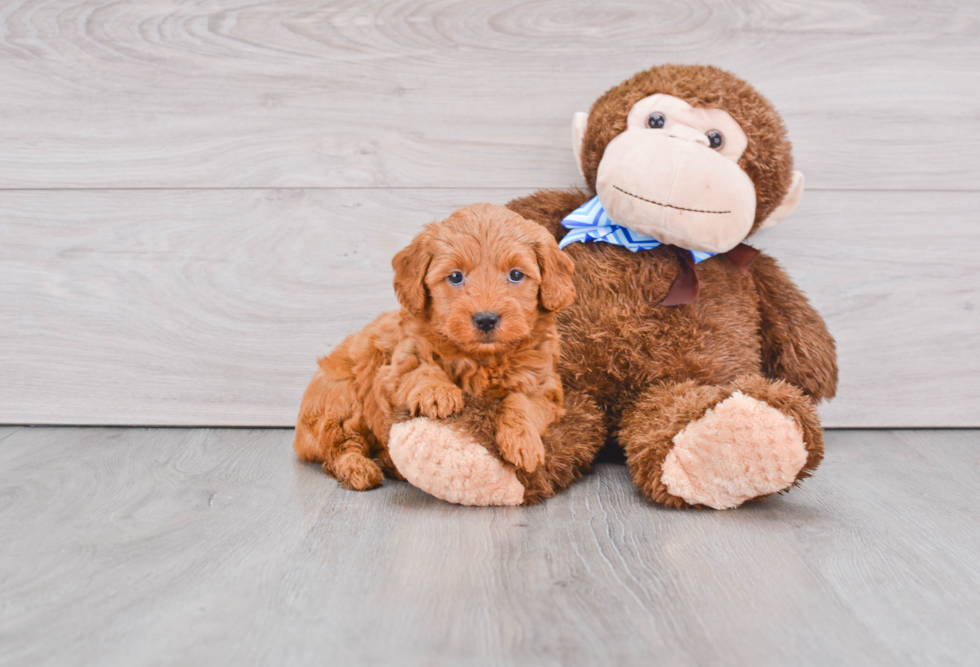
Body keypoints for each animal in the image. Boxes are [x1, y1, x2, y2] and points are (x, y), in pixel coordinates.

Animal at [294, 202, 580, 490]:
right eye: (455, 277)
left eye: (516, 274)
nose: (486, 319)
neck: (482, 358)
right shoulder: (394, 367)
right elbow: (420, 369)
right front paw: (438, 392)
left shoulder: (544, 386)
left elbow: (521, 402)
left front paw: (523, 442)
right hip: (341, 403)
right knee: (340, 445)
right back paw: (358, 468)